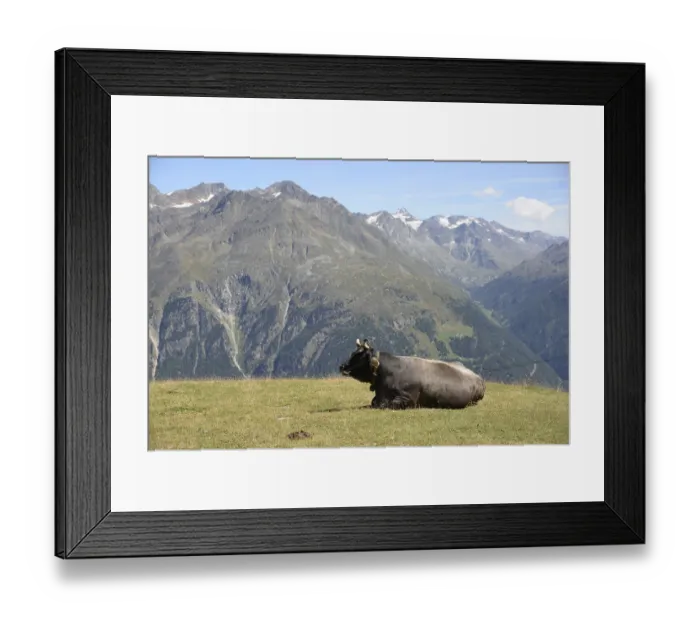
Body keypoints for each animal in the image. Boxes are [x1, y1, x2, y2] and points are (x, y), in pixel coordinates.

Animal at [339, 338, 486, 410]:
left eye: (359, 355)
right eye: (353, 353)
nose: (342, 366)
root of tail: (479, 378)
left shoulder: (408, 398)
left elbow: (385, 405)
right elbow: (373, 403)